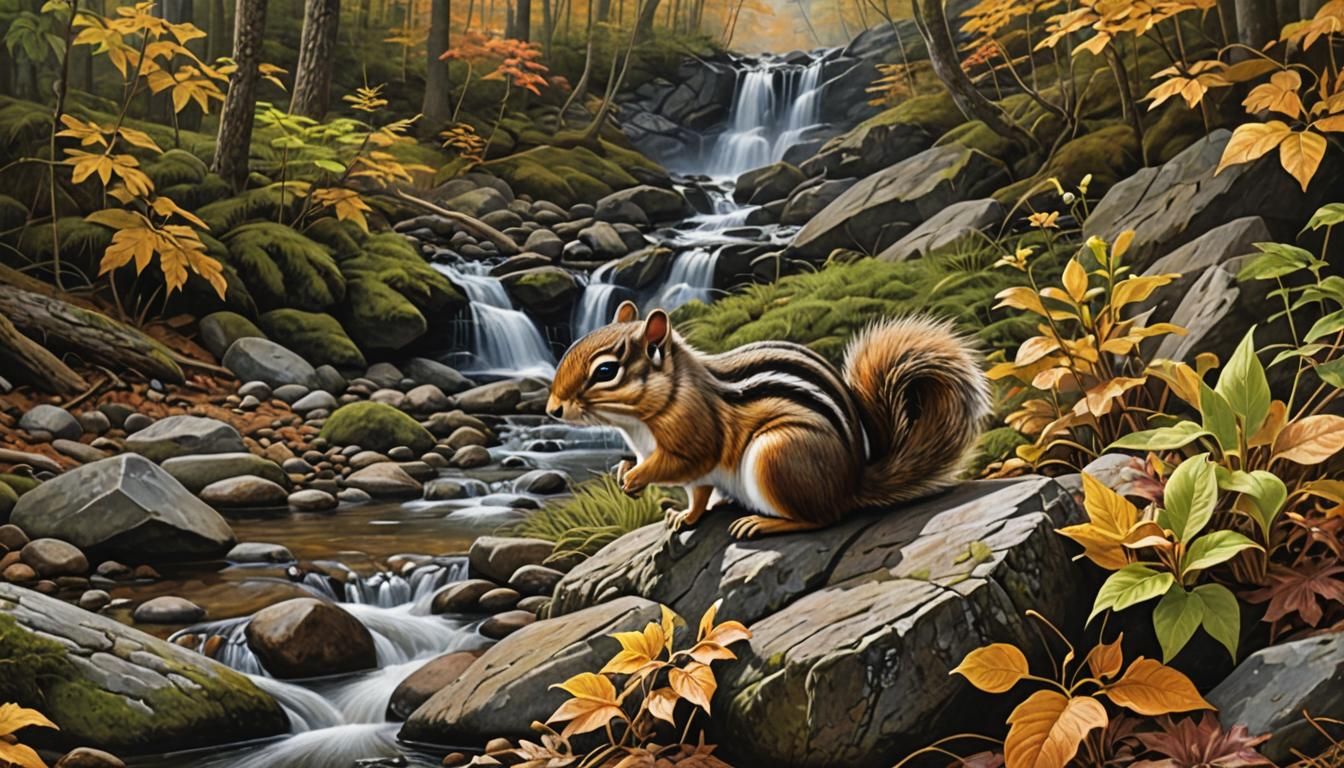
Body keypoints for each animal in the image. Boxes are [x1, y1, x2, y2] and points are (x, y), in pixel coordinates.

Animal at [545, 300, 992, 539]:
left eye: (605, 371)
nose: (552, 409)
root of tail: (851, 481)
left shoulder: (695, 440)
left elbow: (683, 467)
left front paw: (636, 478)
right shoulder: (690, 472)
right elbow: (698, 497)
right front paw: (669, 507)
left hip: (777, 454)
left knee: (823, 518)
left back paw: (761, 524)